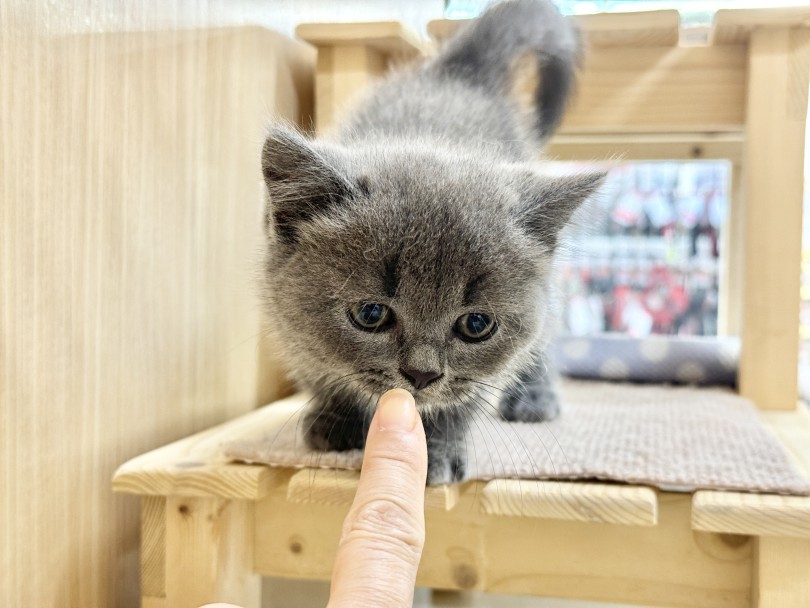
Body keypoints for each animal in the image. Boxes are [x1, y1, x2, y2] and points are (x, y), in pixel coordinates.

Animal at [258, 0, 600, 484]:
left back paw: (534, 397)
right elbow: (319, 369)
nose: (420, 375)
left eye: (476, 325)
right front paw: (335, 419)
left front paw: (435, 450)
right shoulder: (287, 324)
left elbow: (466, 395)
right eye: (370, 314)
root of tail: (456, 72)